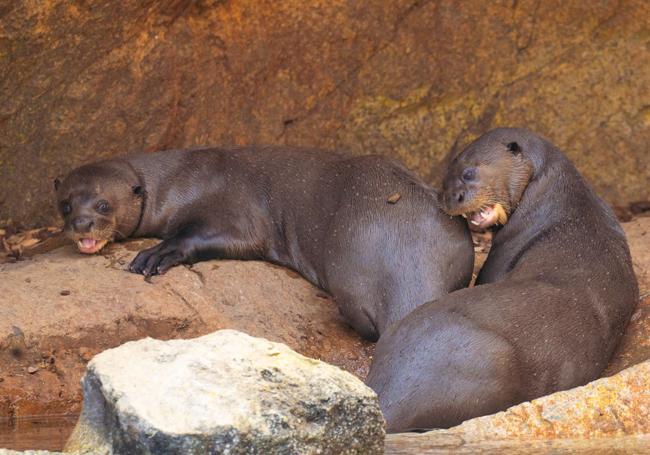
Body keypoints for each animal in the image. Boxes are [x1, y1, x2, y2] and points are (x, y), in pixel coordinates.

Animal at [54, 146, 474, 341]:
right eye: (66, 204)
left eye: (103, 204)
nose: (81, 223)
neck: (178, 181)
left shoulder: (233, 207)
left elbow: (205, 235)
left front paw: (157, 254)